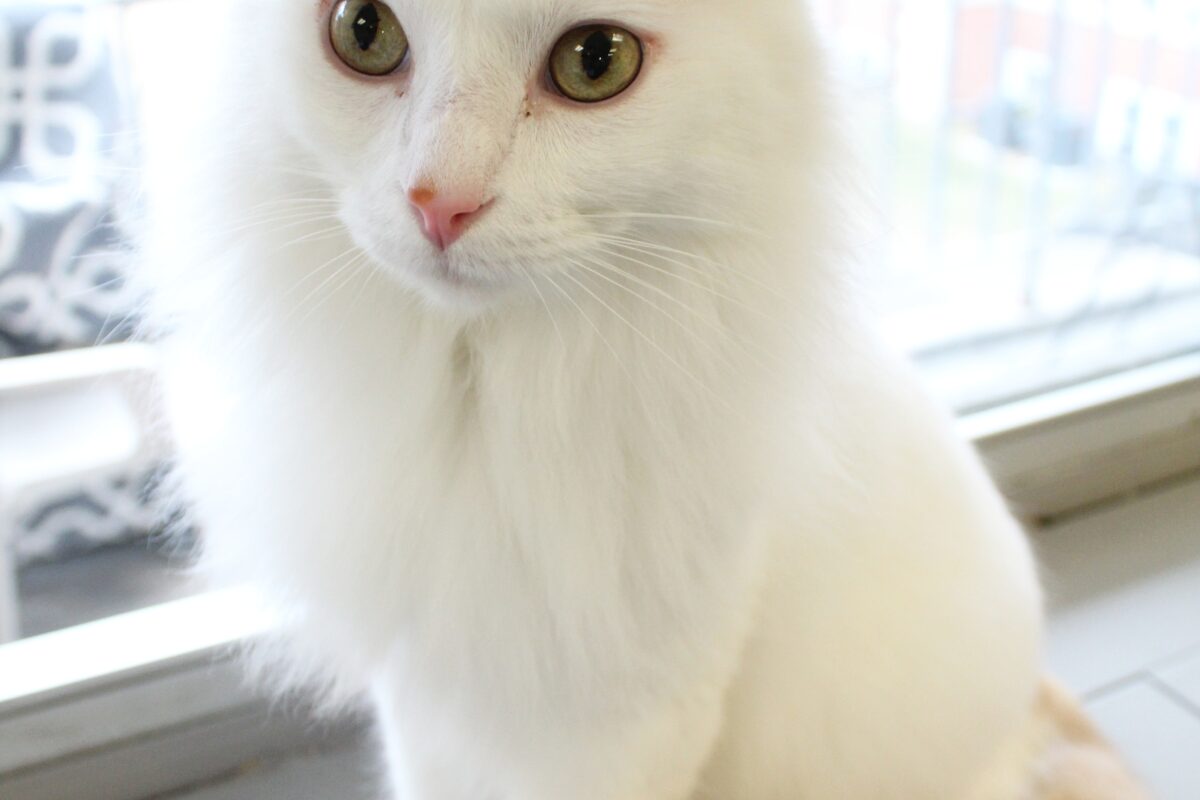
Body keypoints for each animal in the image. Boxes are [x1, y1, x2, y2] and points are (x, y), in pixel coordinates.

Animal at [131, 1, 1142, 800]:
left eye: (596, 61)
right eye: (363, 31)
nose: (440, 204)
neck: (486, 406)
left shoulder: (632, 718)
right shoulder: (426, 694)